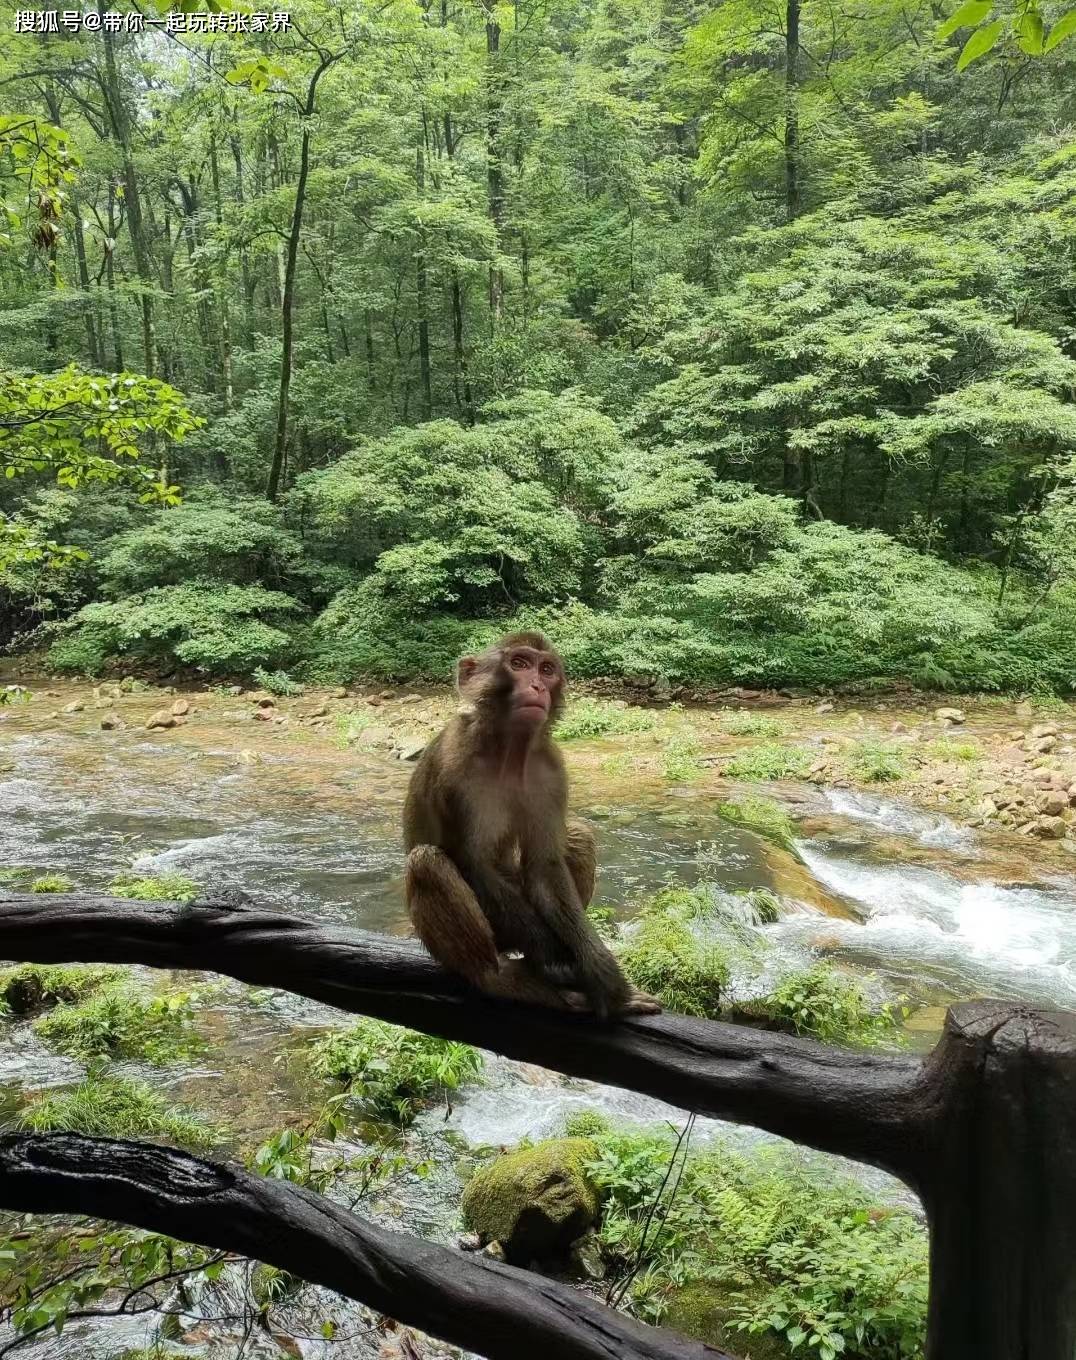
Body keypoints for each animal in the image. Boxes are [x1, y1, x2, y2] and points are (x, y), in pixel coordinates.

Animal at [402, 628, 661, 1022]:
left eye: (547, 669)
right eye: (519, 664)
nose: (538, 686)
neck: (507, 751)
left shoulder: (551, 769)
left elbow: (544, 867)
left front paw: (602, 975)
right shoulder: (453, 764)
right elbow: (475, 864)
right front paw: (557, 961)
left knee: (578, 835)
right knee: (427, 862)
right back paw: (498, 977)